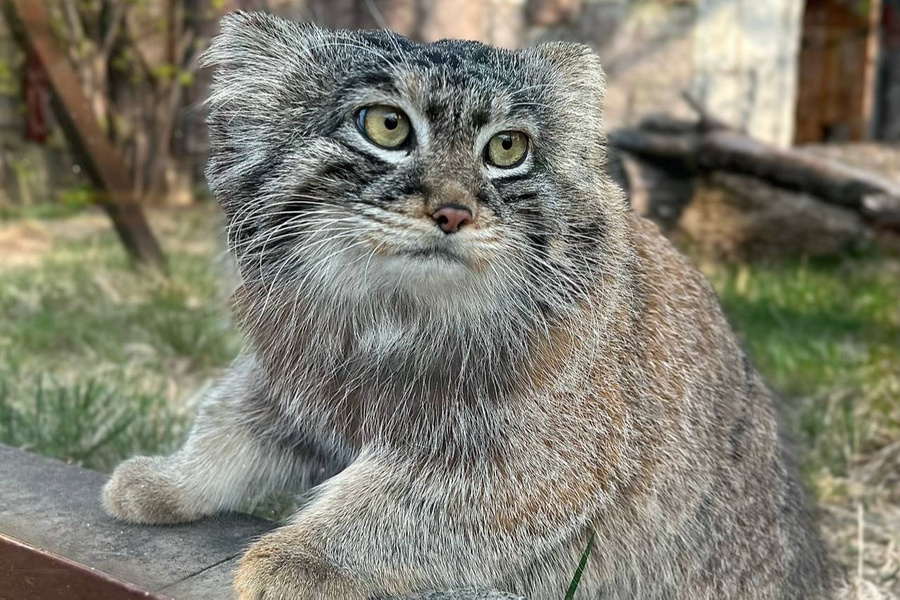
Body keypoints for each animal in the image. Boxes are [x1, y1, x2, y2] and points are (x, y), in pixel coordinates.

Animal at [103, 10, 836, 600]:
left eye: (507, 148)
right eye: (387, 125)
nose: (453, 211)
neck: (390, 318)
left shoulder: (532, 467)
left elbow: (392, 508)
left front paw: (297, 555)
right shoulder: (292, 374)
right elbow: (229, 423)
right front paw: (173, 479)